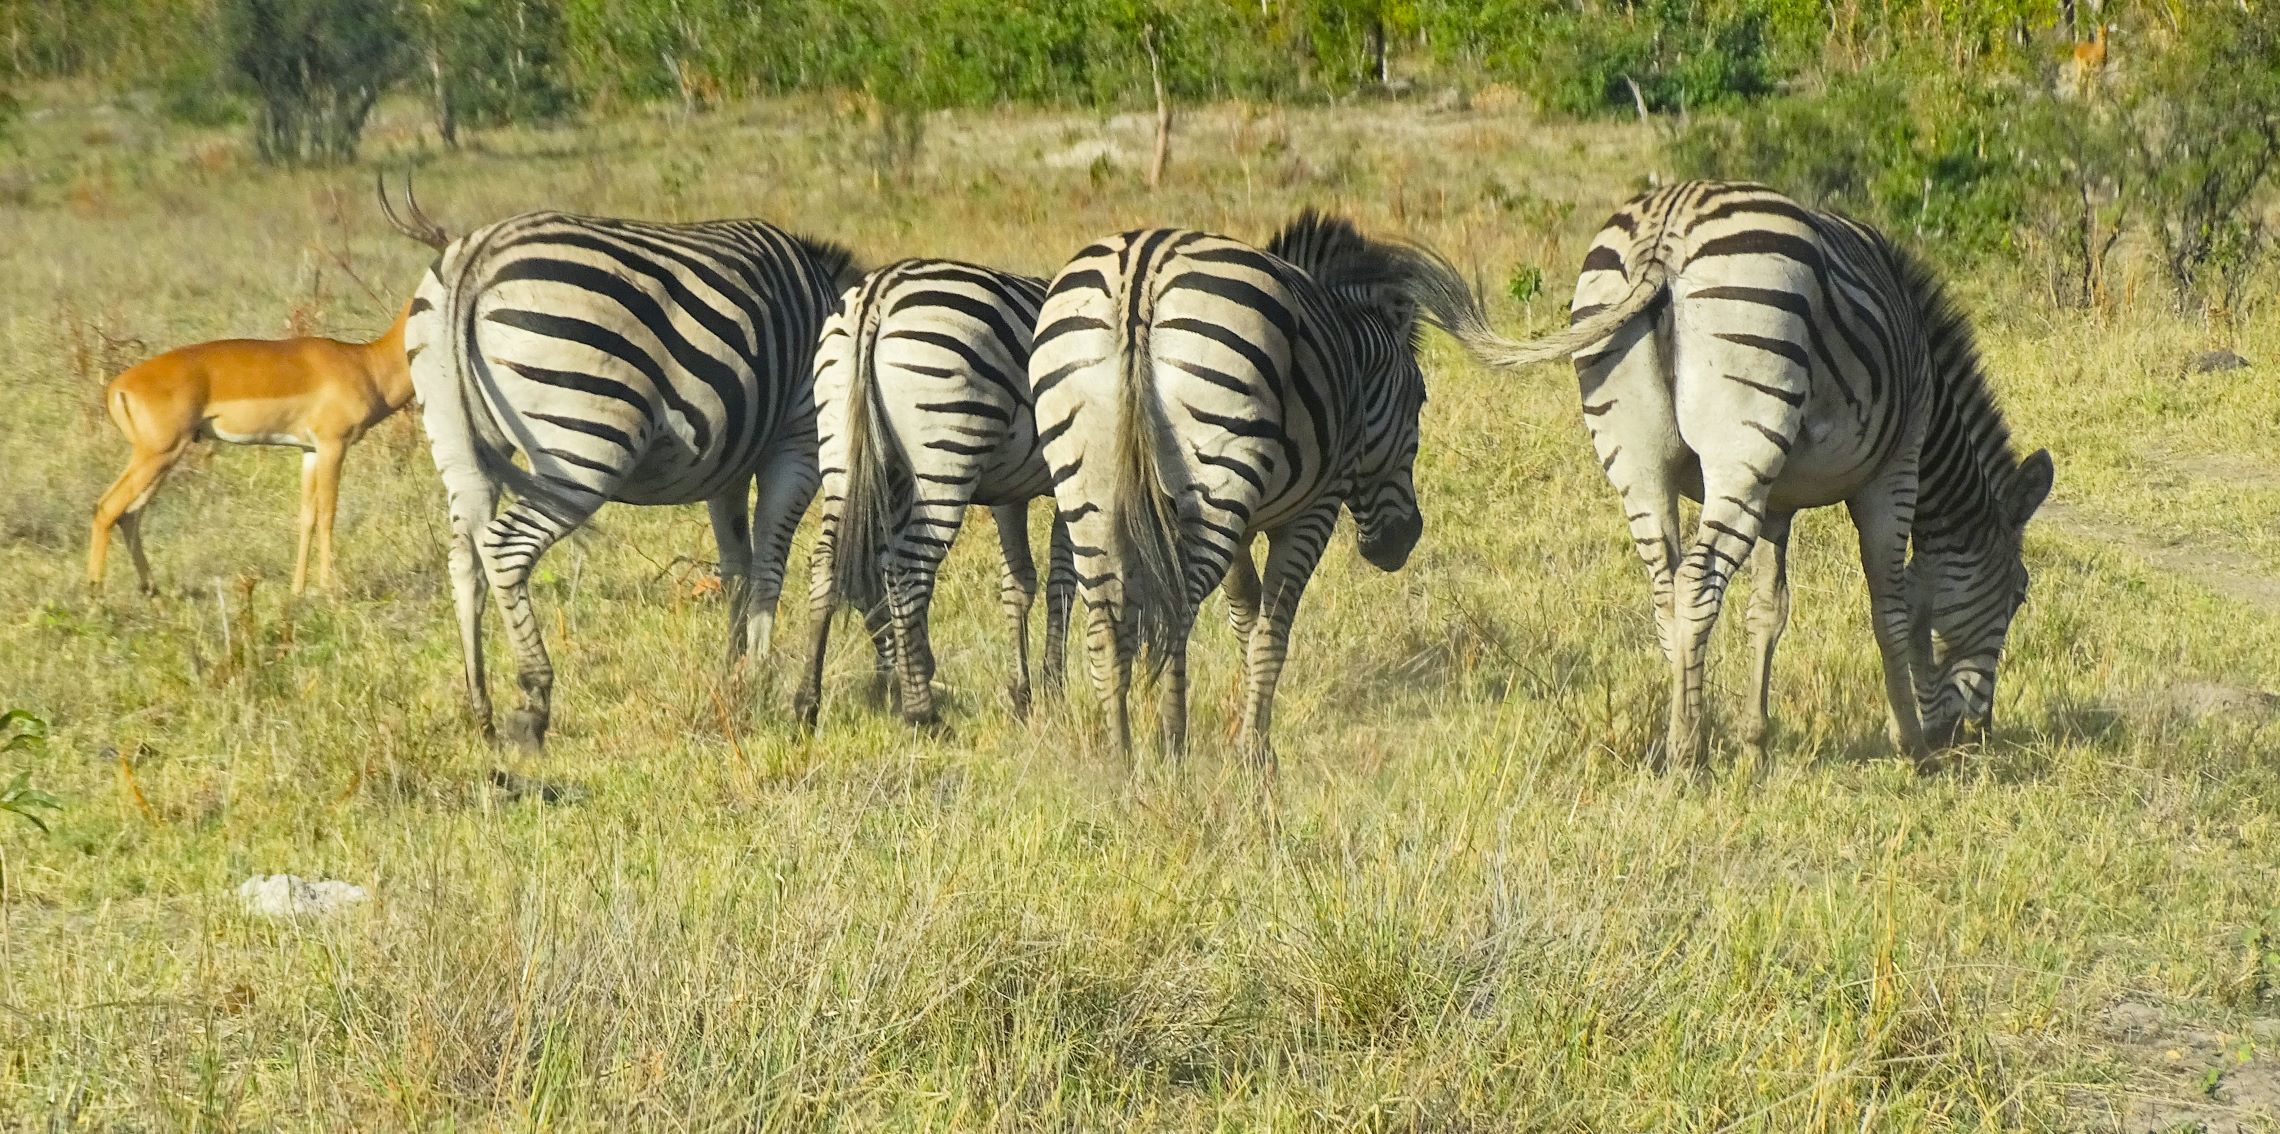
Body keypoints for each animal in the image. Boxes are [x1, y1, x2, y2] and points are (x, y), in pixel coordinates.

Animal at [405, 207, 857, 748]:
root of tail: (477, 256)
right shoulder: (798, 441)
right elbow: (770, 564)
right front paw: (762, 678)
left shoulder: (728, 464)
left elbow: (737, 568)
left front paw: (736, 674)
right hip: (585, 442)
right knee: (504, 547)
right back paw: (534, 701)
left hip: (456, 436)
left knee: (464, 561)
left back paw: (482, 713)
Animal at [793, 258, 1076, 725]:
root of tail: (878, 294)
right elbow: (1065, 581)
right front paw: (1054, 685)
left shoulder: (1010, 493)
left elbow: (1019, 584)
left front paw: (1023, 694)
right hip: (947, 449)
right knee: (909, 568)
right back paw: (921, 713)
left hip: (842, 448)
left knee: (830, 564)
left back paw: (807, 703)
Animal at [1030, 209, 1477, 771]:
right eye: (1420, 399)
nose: (1404, 540)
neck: (1351, 356)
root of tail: (1139, 274)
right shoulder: (1314, 510)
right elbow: (1273, 627)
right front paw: (1255, 751)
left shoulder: (1242, 521)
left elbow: (1245, 612)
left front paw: (1249, 725)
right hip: (1213, 478)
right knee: (1177, 609)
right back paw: (1173, 744)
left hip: (1087, 485)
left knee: (1105, 625)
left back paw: (1121, 759)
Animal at [1450, 181, 2061, 771]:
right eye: (2019, 594)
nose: (1976, 734)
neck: (1933, 407)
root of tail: (1663, 236)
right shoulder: (1896, 469)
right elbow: (1891, 603)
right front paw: (1911, 744)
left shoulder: (1778, 501)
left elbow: (1768, 611)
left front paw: (1754, 743)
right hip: (1743, 442)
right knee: (1697, 583)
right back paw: (1687, 753)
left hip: (1640, 458)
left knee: (1666, 591)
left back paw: (1687, 727)